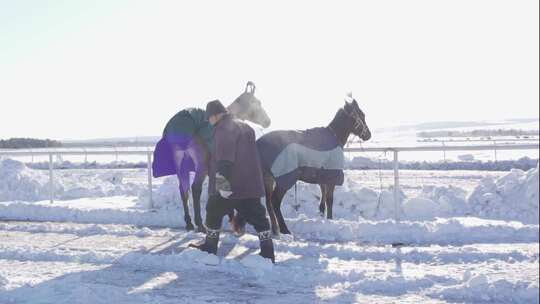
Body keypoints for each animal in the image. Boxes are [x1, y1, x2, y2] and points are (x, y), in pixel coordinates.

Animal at [152, 82, 270, 232]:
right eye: (257, 103)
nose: (268, 121)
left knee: (184, 190)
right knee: (195, 188)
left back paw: (189, 223)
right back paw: (200, 224)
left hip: (181, 163)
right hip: (200, 165)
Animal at [255, 96, 370, 234]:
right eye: (361, 115)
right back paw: (284, 229)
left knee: (268, 202)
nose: (368, 135)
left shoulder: (322, 177)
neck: (334, 136)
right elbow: (330, 200)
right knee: (275, 202)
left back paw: (275, 229)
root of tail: (259, 143)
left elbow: (323, 198)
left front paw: (322, 214)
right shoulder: (331, 176)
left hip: (268, 178)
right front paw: (330, 219)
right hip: (284, 179)